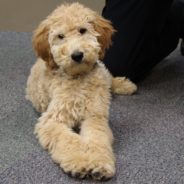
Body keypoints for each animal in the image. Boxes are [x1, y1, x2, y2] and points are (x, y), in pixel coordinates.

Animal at [26, 2, 137, 180]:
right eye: (60, 36)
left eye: (83, 30)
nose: (77, 55)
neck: (79, 79)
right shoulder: (52, 120)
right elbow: (68, 140)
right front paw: (80, 162)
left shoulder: (95, 116)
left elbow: (97, 140)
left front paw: (98, 163)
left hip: (103, 74)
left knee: (109, 79)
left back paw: (125, 85)